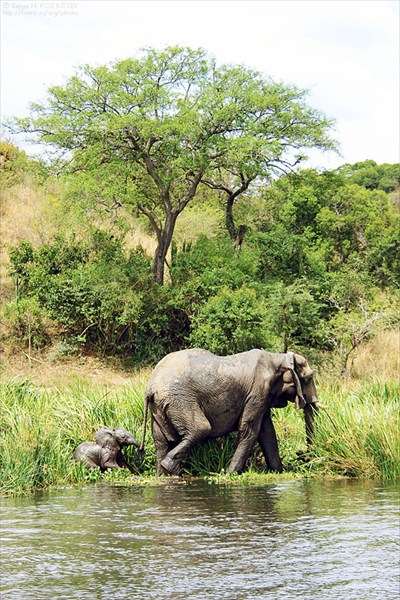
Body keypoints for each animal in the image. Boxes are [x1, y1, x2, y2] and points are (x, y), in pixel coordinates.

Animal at [141, 350, 318, 476]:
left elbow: (267, 431)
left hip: (159, 407)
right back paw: (172, 469)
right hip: (179, 400)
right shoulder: (258, 391)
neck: (278, 358)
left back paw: (163, 474)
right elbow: (249, 431)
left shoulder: (263, 396)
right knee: (201, 429)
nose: (300, 453)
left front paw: (278, 472)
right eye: (309, 378)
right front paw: (229, 474)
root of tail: (150, 387)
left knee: (160, 441)